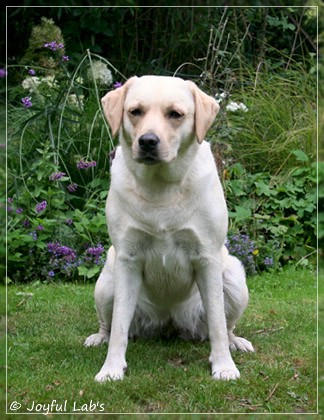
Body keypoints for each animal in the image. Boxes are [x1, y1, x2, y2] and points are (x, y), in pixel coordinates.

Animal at [85, 74, 254, 380]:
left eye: (175, 114)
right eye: (135, 111)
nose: (147, 141)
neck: (160, 187)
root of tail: (169, 323)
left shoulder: (207, 258)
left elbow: (217, 324)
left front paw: (223, 366)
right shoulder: (127, 259)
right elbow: (119, 329)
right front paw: (112, 368)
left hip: (234, 278)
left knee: (227, 325)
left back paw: (236, 342)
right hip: (106, 282)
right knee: (109, 324)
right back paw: (98, 337)